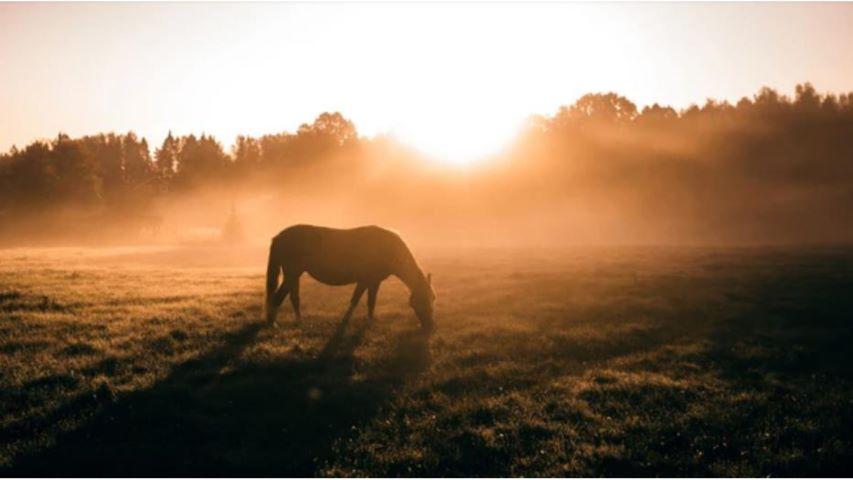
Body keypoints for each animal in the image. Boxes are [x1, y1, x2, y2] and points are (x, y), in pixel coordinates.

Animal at [265, 224, 436, 329]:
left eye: (432, 299)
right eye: (421, 302)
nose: (430, 327)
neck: (388, 248)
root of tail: (279, 237)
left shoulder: (368, 281)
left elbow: (361, 301)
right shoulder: (370, 280)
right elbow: (365, 301)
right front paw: (366, 323)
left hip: (294, 275)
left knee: (293, 298)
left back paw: (298, 322)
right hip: (292, 274)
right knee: (278, 298)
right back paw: (273, 324)